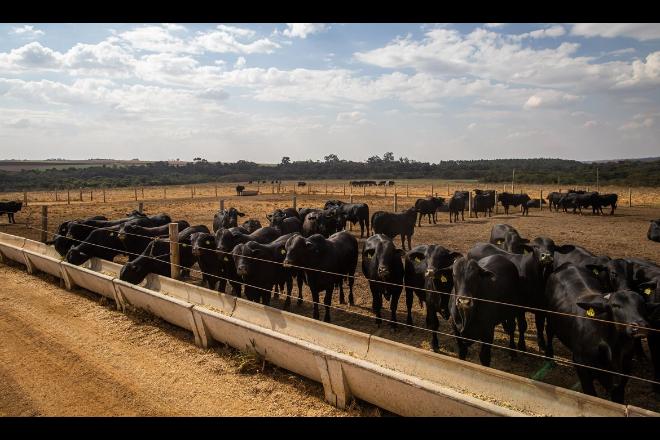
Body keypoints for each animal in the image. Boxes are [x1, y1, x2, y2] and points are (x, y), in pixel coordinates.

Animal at [540, 262, 648, 404]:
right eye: (615, 306)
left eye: (642, 304)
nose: (640, 326)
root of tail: (568, 265)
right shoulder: (581, 366)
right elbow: (591, 395)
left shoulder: (624, 373)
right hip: (550, 317)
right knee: (549, 331)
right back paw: (549, 358)